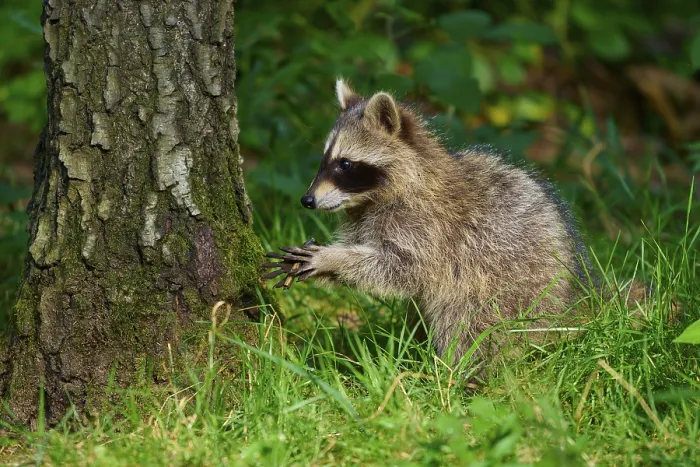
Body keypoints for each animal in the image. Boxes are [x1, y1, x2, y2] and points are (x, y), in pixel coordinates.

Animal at [262, 79, 627, 369]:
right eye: (324, 161)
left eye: (346, 164)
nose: (307, 200)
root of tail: (569, 304)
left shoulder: (428, 228)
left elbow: (400, 268)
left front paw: (333, 258)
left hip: (510, 291)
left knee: (471, 325)